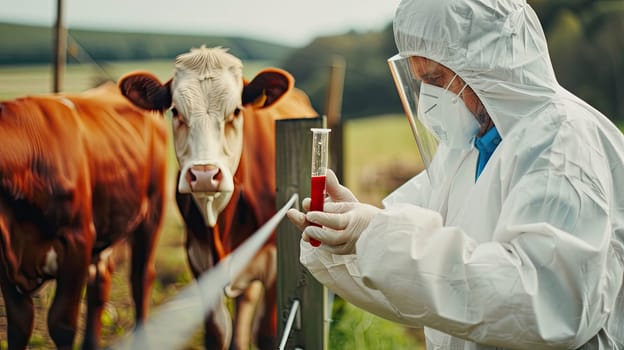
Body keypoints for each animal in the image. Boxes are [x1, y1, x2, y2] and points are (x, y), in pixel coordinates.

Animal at [0, 84, 169, 350]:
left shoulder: (77, 240)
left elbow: (62, 325)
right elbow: (19, 325)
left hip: (151, 213)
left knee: (141, 277)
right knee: (100, 283)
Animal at [120, 45, 320, 348]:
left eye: (236, 110)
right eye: (175, 111)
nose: (204, 174)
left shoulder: (274, 266)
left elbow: (267, 333)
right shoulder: (199, 262)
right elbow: (217, 331)